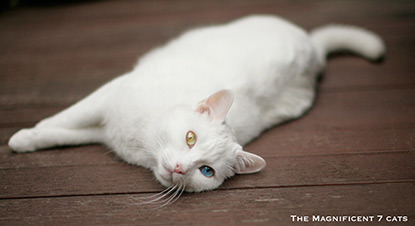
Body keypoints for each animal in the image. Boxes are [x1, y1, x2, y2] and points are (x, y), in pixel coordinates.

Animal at [8, 15, 386, 192]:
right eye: (190, 138)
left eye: (206, 171)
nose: (180, 168)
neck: (140, 146)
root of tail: (311, 47)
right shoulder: (108, 97)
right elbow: (62, 120)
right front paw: (24, 137)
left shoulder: (103, 129)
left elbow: (63, 134)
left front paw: (26, 140)